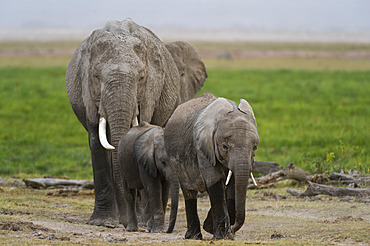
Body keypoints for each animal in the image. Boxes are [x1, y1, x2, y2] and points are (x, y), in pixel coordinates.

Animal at [65, 18, 207, 228]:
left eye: (141, 77)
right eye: (96, 77)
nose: (124, 223)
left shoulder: (150, 92)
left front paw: (140, 220)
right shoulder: (87, 95)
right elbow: (97, 143)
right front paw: (102, 222)